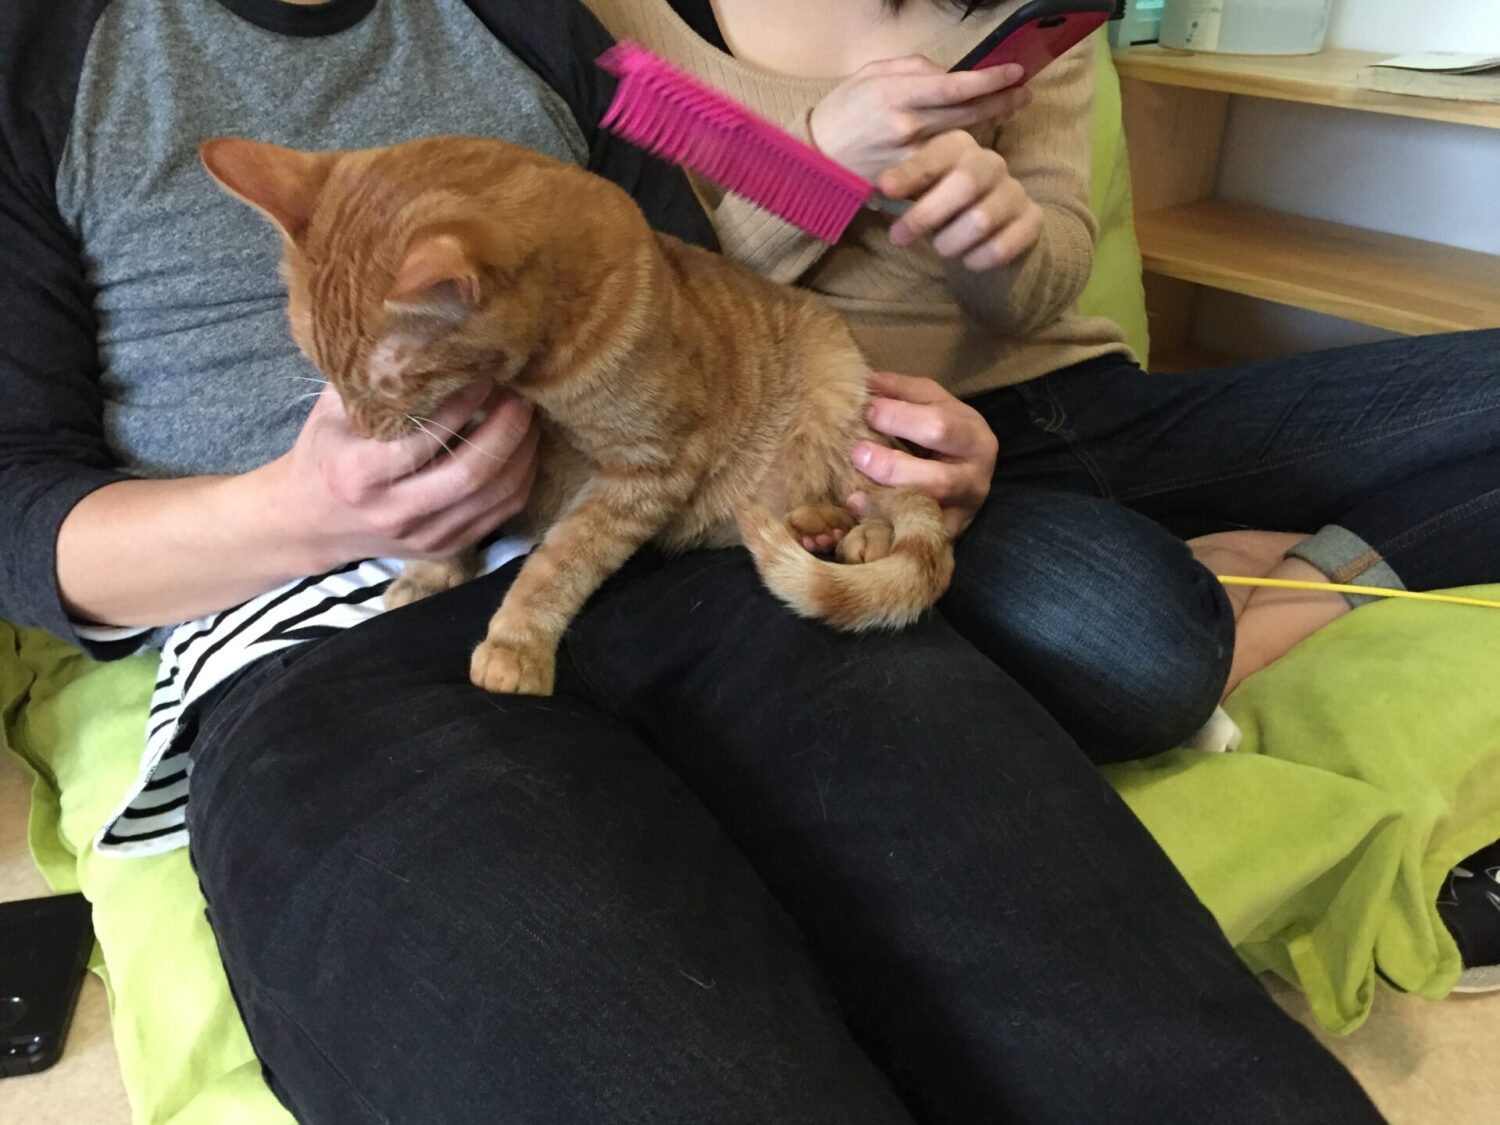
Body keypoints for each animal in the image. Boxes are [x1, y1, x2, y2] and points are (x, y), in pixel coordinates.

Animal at [202, 134, 953, 696]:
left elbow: (559, 563)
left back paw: (859, 535)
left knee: (893, 502)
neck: (530, 376)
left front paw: (515, 645)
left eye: (391, 385)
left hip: (839, 397)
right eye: (322, 368)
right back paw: (817, 528)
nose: (361, 430)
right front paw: (431, 574)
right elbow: (453, 531)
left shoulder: (644, 471)